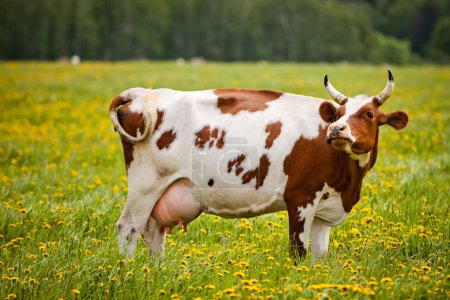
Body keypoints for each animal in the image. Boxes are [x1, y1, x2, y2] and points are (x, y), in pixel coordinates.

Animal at [109, 69, 408, 260]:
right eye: (339, 113)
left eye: (369, 114)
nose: (336, 129)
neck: (347, 180)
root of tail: (144, 95)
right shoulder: (300, 199)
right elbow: (298, 253)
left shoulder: (325, 209)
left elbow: (319, 255)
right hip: (146, 185)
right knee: (128, 228)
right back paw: (129, 271)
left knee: (153, 233)